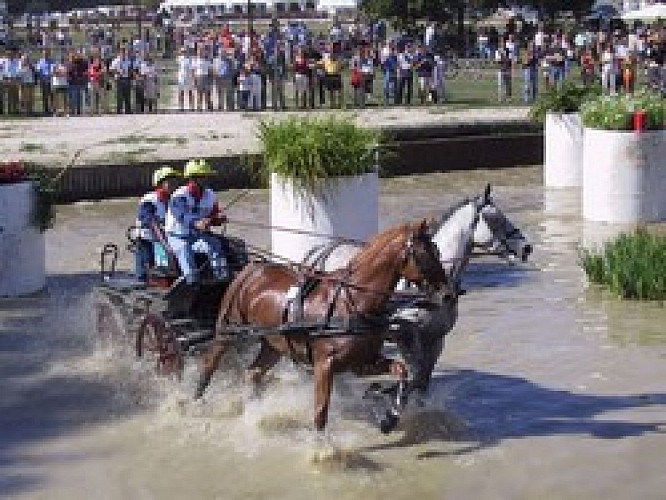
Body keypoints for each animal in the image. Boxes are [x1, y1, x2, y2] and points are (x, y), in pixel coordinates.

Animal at [195, 221, 448, 432]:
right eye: (425, 254)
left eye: (437, 250)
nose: (447, 294)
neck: (352, 302)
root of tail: (251, 269)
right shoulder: (324, 364)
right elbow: (320, 412)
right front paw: (321, 451)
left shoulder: (361, 362)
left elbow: (401, 370)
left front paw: (390, 417)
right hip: (228, 330)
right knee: (209, 364)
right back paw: (196, 402)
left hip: (274, 343)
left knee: (253, 373)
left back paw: (255, 412)